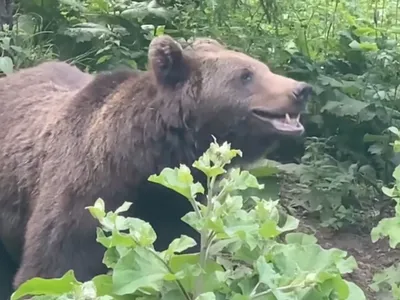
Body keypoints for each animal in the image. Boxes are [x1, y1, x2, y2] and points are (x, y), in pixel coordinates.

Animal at [0, 34, 310, 298]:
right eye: (246, 75)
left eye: (263, 67)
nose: (301, 89)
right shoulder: (82, 195)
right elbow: (51, 271)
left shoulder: (175, 207)